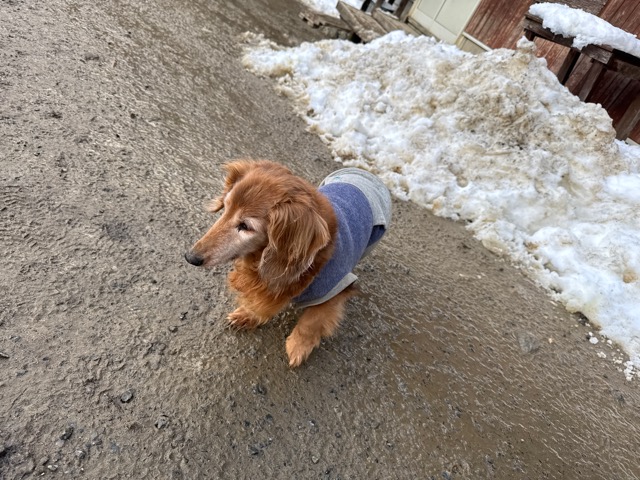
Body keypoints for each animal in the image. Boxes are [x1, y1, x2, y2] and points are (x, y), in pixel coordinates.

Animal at [185, 160, 391, 366]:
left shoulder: (335, 290)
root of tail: (363, 172)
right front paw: (248, 315)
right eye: (225, 208)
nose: (190, 257)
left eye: (245, 226)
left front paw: (298, 346)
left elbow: (311, 322)